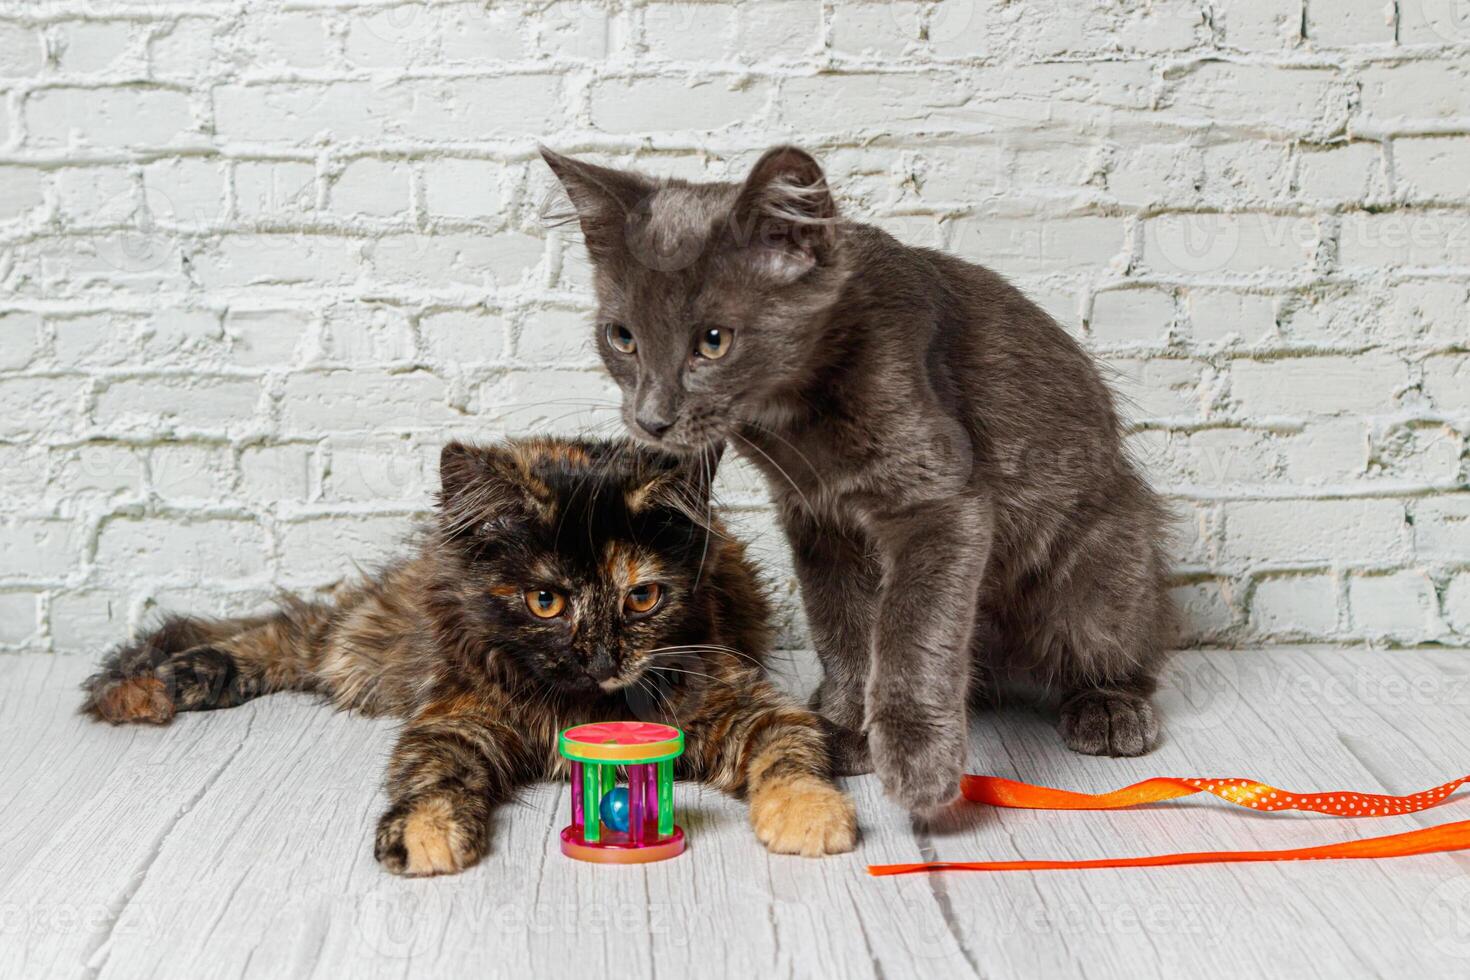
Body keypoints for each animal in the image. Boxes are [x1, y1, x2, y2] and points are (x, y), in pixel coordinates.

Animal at [80, 437, 858, 875]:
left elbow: (791, 752)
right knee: (284, 630)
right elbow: (432, 777)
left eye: (642, 598)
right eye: (545, 602)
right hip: (369, 648)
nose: (602, 657)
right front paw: (425, 833)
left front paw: (810, 814)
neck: (577, 701)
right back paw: (172, 676)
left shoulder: (740, 702)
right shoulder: (456, 716)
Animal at [546, 145, 1176, 816]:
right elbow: (842, 626)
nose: (651, 420)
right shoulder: (818, 522)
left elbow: (911, 629)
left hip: (1100, 575)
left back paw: (1109, 708)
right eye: (622, 338)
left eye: (714, 342)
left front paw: (918, 760)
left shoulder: (939, 503)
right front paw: (847, 728)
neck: (795, 419)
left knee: (1130, 645)